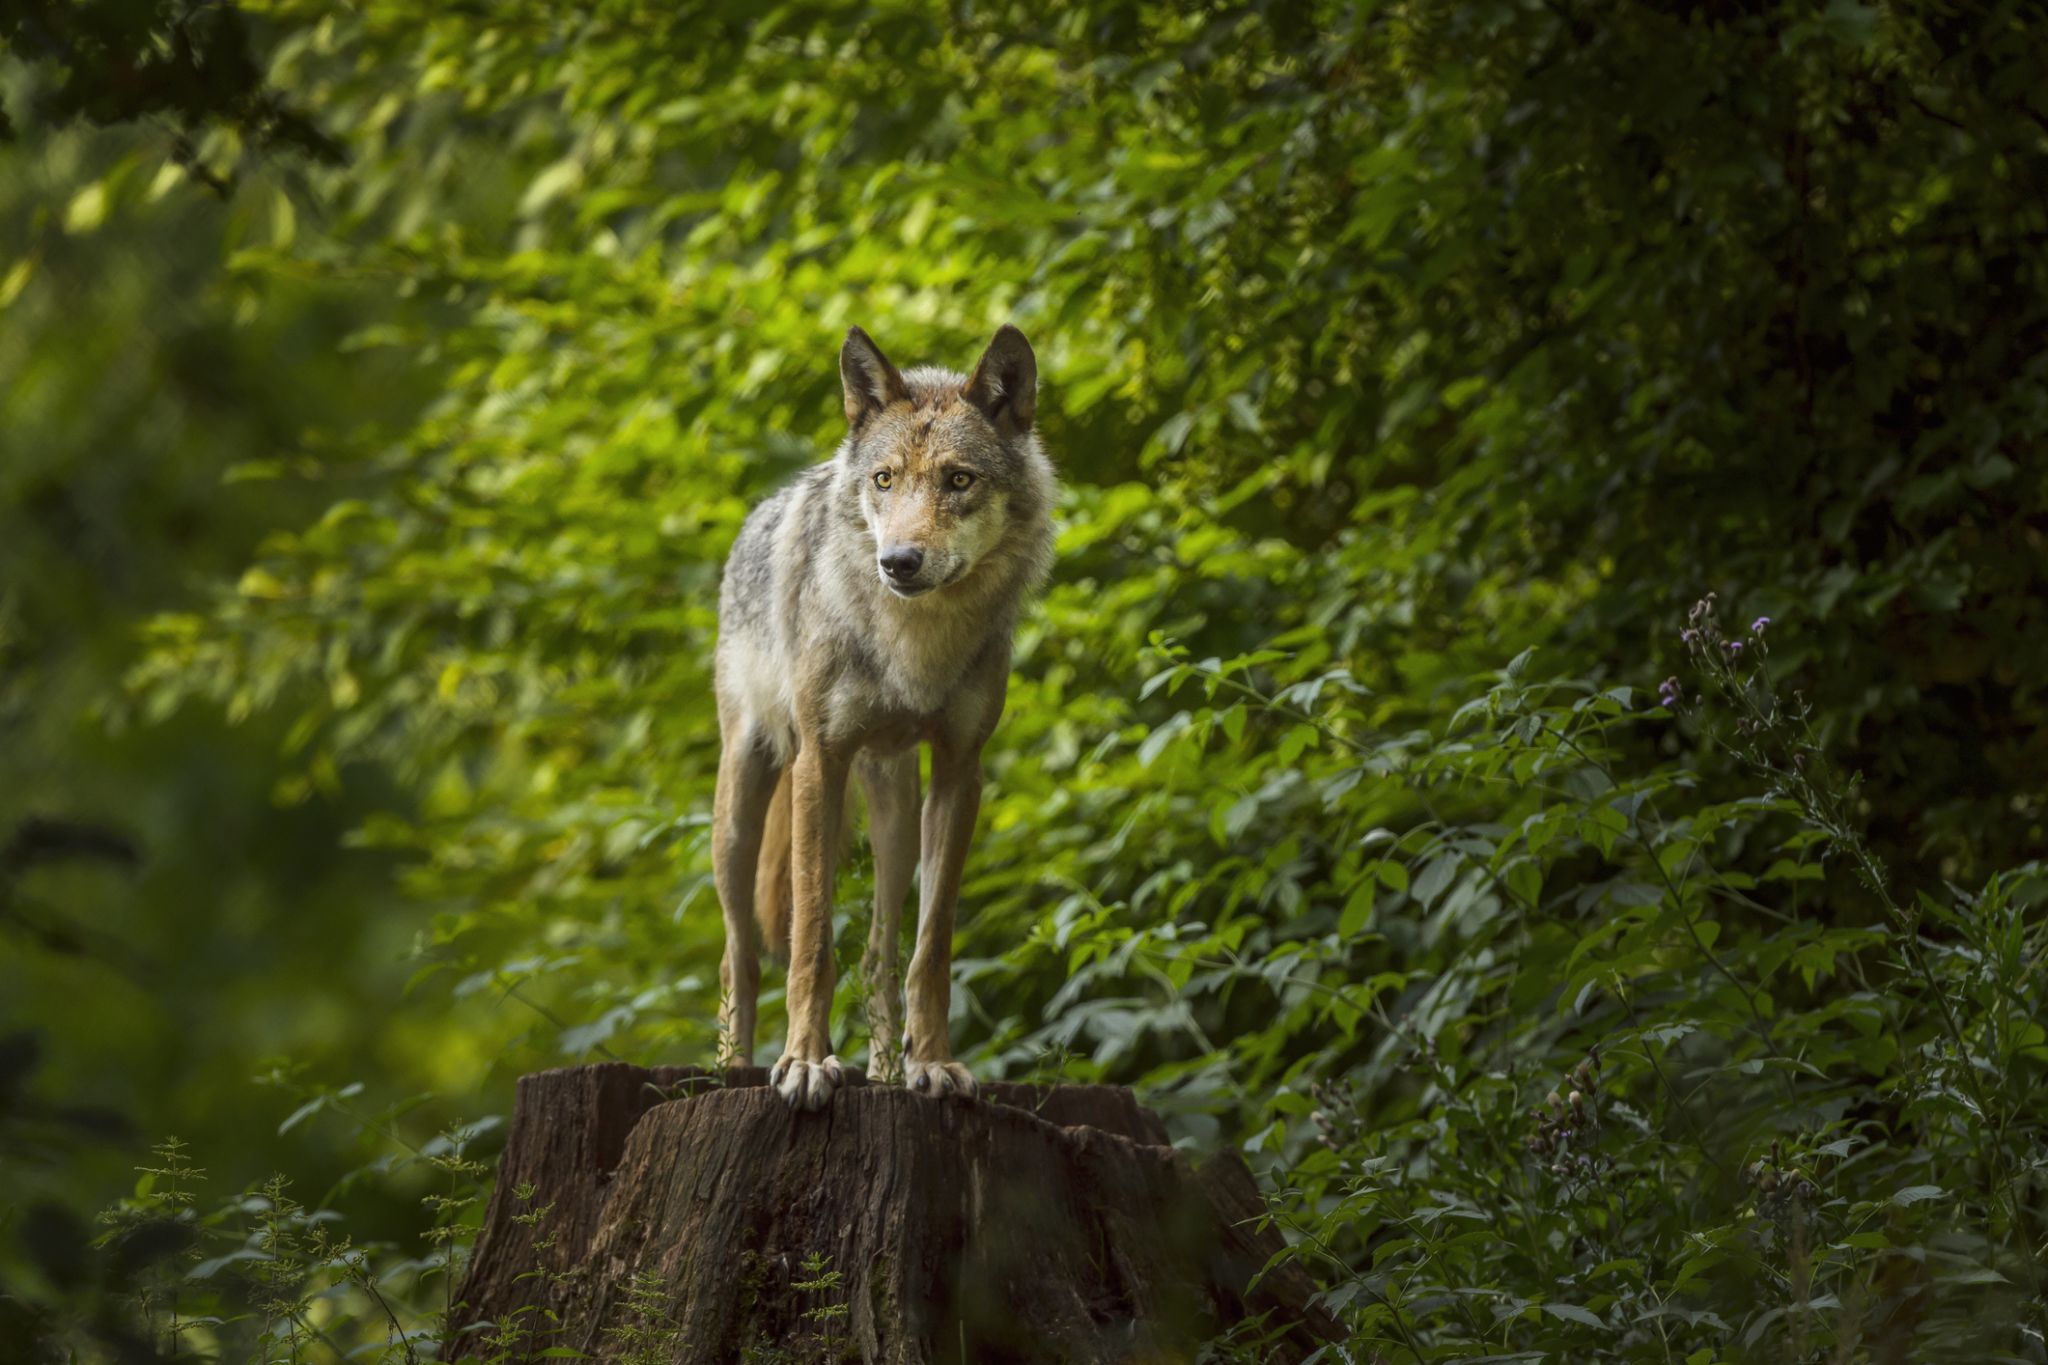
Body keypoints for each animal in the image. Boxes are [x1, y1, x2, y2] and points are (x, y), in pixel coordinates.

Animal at [711, 324, 1055, 1111]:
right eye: (885, 480)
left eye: (958, 480)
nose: (898, 561)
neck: (915, 646)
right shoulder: (820, 761)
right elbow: (810, 939)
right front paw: (805, 1063)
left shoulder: (960, 772)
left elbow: (930, 949)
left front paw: (933, 1064)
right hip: (743, 808)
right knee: (739, 955)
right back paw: (734, 1069)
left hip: (895, 816)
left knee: (877, 953)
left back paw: (886, 1074)